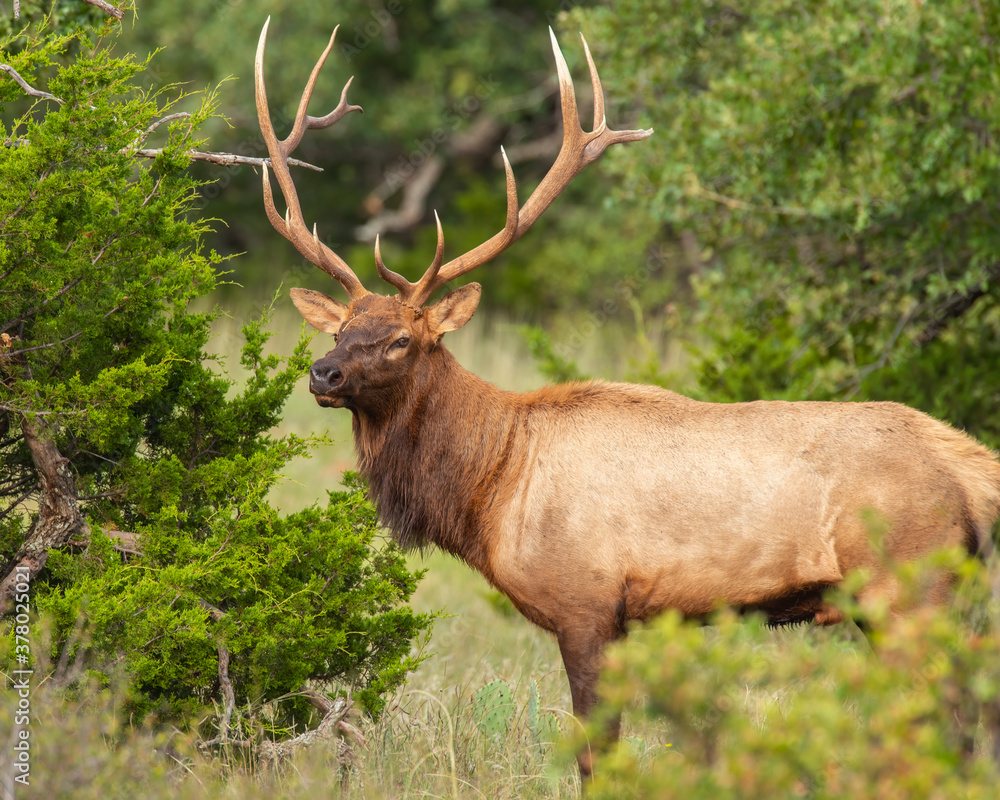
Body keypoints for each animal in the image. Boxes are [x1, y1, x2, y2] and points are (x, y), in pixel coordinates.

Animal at [254, 18, 1000, 780]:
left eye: (403, 339)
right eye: (340, 330)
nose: (323, 374)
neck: (493, 486)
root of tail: (973, 466)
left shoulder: (587, 604)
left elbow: (596, 752)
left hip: (908, 583)